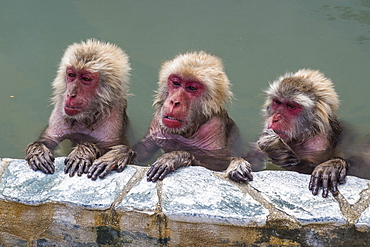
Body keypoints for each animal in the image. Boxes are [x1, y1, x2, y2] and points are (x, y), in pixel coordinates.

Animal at [26, 38, 136, 177]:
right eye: (71, 75)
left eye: (86, 78)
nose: (70, 94)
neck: (86, 117)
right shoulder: (59, 112)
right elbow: (48, 140)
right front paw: (38, 151)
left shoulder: (113, 120)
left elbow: (111, 147)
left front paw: (83, 152)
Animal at [125, 52, 253, 182]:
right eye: (176, 83)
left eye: (191, 88)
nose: (174, 102)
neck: (188, 131)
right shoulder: (157, 120)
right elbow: (144, 149)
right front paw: (124, 153)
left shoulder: (215, 127)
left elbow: (216, 165)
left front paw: (175, 157)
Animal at [246, 69, 346, 197]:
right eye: (278, 102)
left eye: (291, 106)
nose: (275, 118)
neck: (304, 134)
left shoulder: (319, 144)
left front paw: (278, 149)